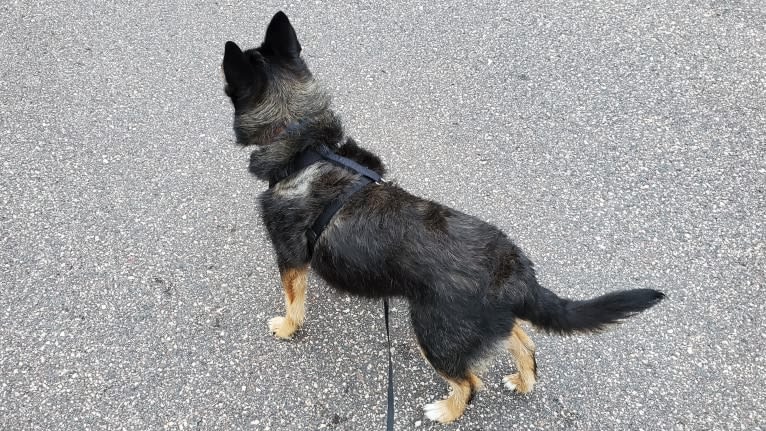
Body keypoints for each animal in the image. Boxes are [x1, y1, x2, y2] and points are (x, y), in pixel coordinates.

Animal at [220, 11, 664, 426]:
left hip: (434, 335)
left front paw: (287, 327)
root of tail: (516, 275)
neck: (303, 141)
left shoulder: (289, 257)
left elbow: (294, 302)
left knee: (470, 381)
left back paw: (447, 411)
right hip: (481, 327)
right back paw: (523, 380)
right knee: (523, 340)